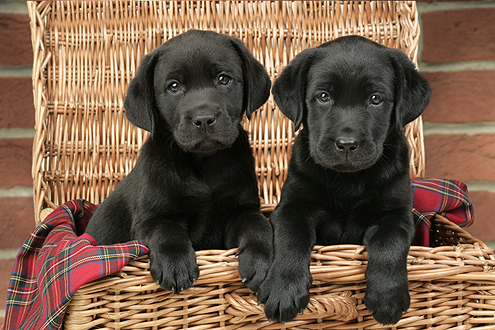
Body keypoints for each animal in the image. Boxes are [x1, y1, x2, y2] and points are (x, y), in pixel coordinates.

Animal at [84, 30, 276, 294]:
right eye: (173, 87)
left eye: (223, 79)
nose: (204, 118)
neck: (204, 165)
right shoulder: (149, 219)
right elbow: (168, 231)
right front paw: (175, 266)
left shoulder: (242, 209)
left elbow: (257, 225)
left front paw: (259, 261)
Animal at [258, 34, 432, 324]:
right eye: (323, 96)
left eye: (375, 99)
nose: (347, 144)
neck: (348, 182)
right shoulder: (292, 208)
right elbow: (291, 239)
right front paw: (283, 290)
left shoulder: (396, 215)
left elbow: (389, 245)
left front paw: (388, 298)